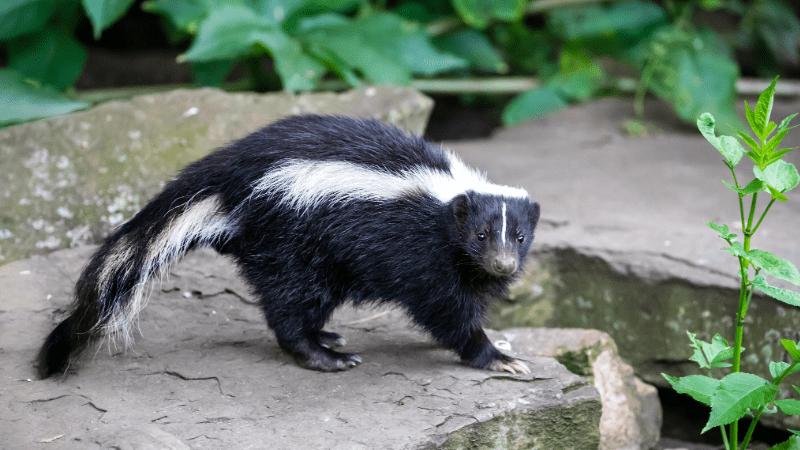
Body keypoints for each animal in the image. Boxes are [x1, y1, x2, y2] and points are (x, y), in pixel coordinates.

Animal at [34, 115, 540, 376]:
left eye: (519, 237)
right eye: (480, 235)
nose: (502, 264)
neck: (445, 198)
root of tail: (232, 176)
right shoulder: (422, 254)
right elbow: (447, 311)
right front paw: (498, 357)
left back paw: (327, 336)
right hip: (292, 235)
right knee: (290, 302)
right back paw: (323, 356)